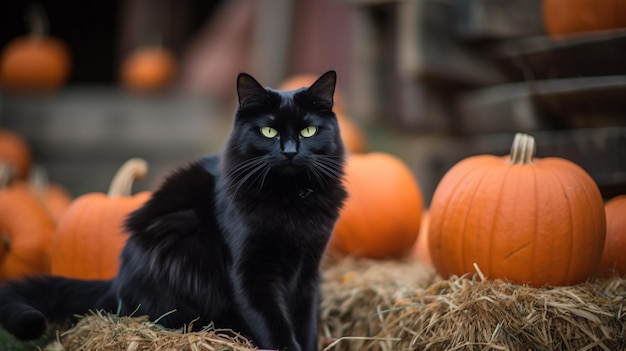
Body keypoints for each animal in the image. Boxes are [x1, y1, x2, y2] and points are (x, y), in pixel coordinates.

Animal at [0, 70, 346, 350]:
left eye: (308, 131)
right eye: (269, 132)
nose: (290, 152)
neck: (290, 201)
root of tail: (117, 280)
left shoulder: (308, 273)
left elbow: (305, 324)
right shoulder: (251, 274)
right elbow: (274, 325)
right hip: (180, 242)